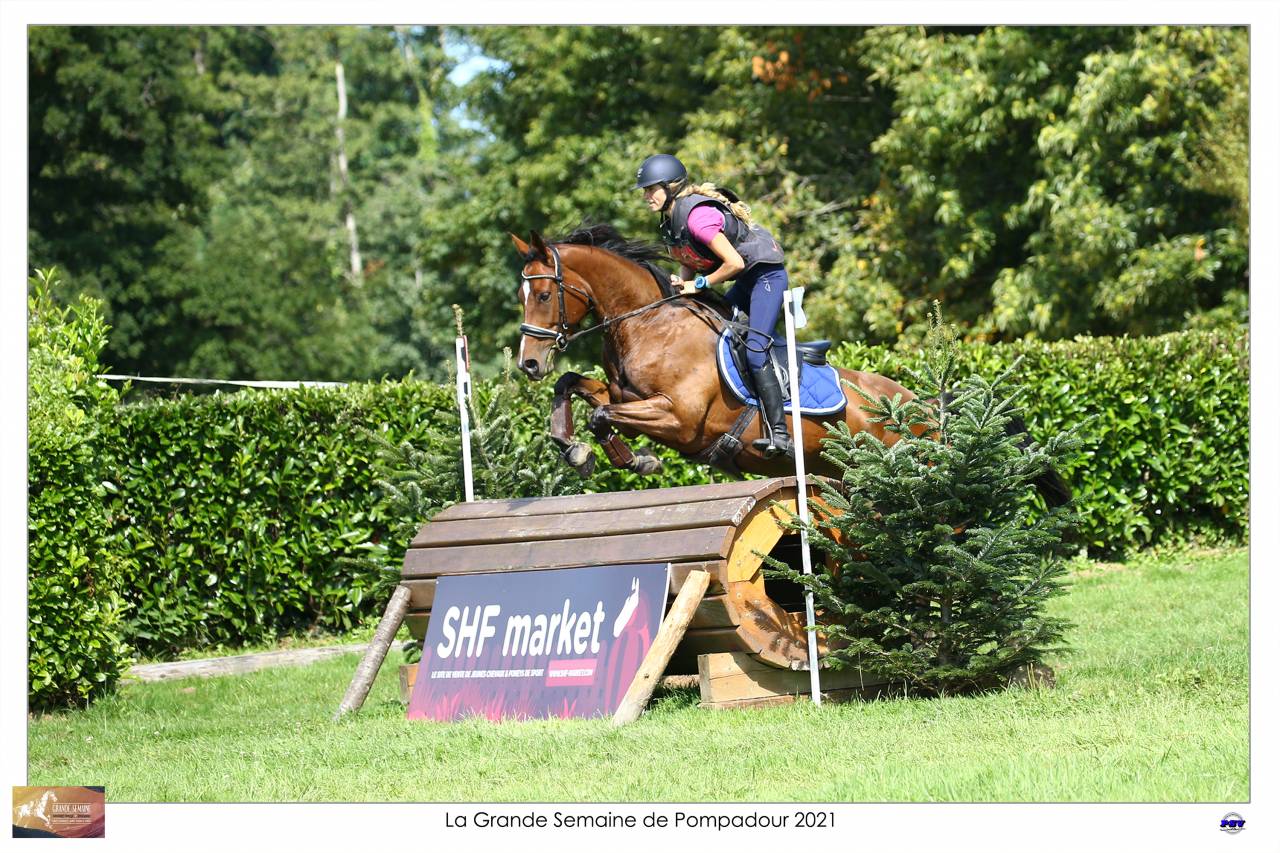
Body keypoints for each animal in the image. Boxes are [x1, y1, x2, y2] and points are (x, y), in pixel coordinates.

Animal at [512, 225, 1071, 506]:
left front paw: (630, 459)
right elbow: (576, 388)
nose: (529, 364)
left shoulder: (678, 417)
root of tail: (926, 404)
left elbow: (599, 414)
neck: (649, 323)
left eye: (543, 294)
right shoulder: (628, 396)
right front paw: (575, 449)